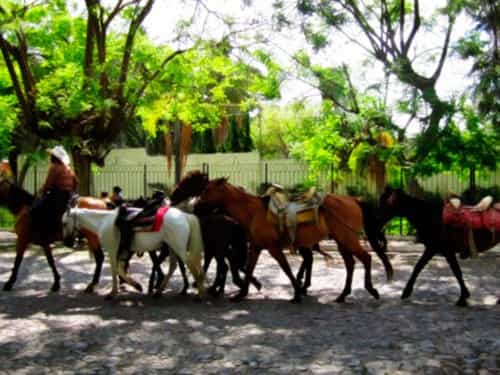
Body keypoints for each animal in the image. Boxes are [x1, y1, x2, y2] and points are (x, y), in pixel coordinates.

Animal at [61, 206, 206, 300]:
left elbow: (115, 271)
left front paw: (112, 293)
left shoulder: (112, 251)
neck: (103, 222)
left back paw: (200, 294)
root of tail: (184, 216)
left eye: (64, 223)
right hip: (172, 247)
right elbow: (121, 270)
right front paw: (137, 286)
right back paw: (159, 291)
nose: (66, 243)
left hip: (179, 248)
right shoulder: (124, 252)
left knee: (193, 267)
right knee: (173, 266)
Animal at [197, 178, 380, 304]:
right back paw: (343, 295)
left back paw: (371, 289)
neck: (253, 212)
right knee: (350, 264)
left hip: (348, 239)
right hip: (342, 241)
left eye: (207, 189)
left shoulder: (272, 248)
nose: (196, 204)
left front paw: (297, 293)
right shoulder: (256, 247)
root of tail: (354, 200)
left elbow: (285, 268)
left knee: (366, 258)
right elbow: (249, 269)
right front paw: (241, 293)